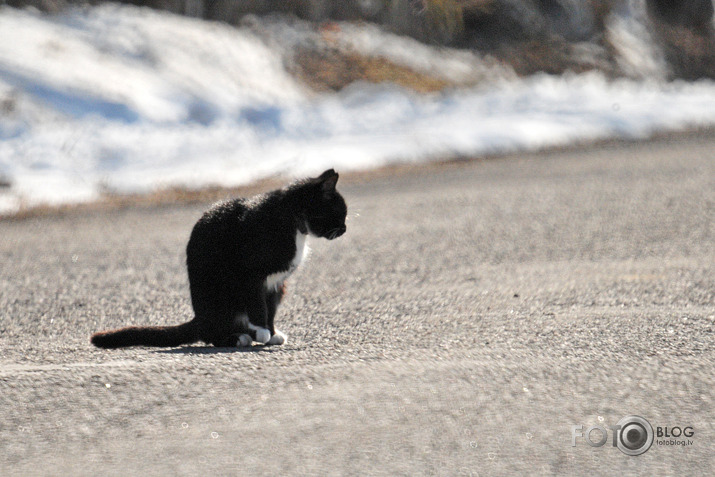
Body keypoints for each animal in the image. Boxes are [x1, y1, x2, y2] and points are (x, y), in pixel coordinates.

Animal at [91, 169, 348, 348]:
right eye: (340, 213)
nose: (345, 229)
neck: (293, 220)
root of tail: (199, 317)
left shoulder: (276, 283)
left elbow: (271, 308)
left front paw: (272, 333)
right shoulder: (251, 273)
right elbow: (258, 305)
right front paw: (263, 332)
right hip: (219, 292)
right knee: (211, 335)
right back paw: (237, 338)